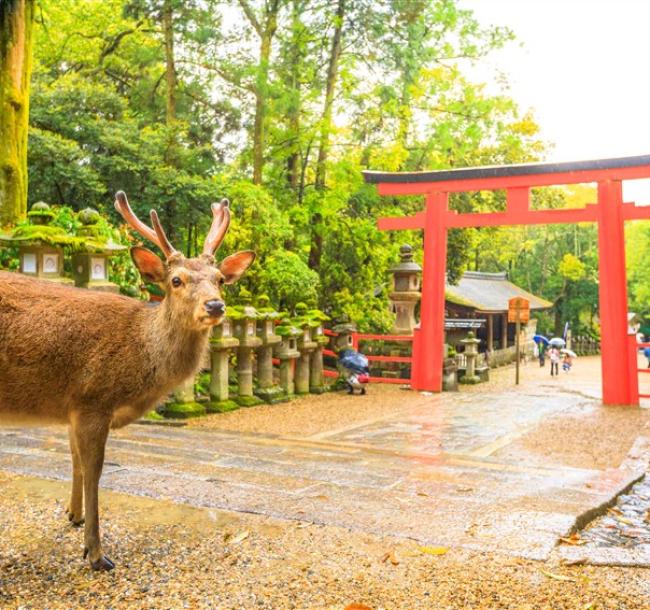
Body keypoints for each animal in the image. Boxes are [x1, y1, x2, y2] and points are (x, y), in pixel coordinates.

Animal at [0, 191, 253, 568]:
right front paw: (95, 553)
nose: (214, 306)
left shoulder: (73, 406)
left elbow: (74, 459)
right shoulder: (93, 398)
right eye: (176, 280)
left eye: (220, 278)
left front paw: (73, 515)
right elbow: (94, 470)